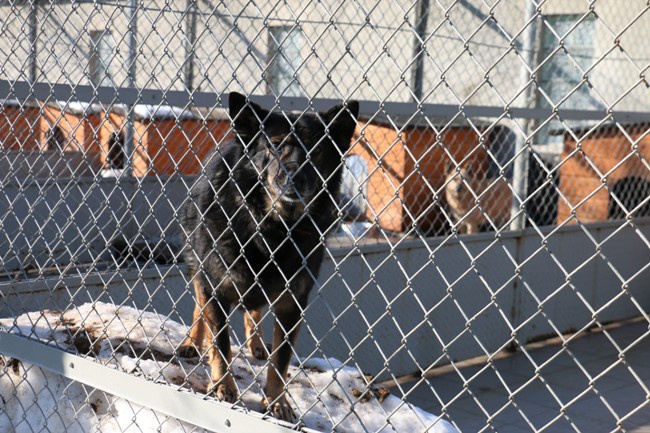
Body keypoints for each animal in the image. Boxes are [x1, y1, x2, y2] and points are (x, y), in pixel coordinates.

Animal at [180, 91, 356, 418]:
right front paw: (223, 385)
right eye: (274, 145)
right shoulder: (215, 284)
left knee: (254, 310)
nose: (295, 176)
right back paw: (192, 342)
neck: (274, 228)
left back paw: (257, 343)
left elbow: (281, 359)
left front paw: (277, 400)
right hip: (199, 264)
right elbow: (220, 341)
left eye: (316, 149)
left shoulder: (293, 301)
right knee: (200, 306)